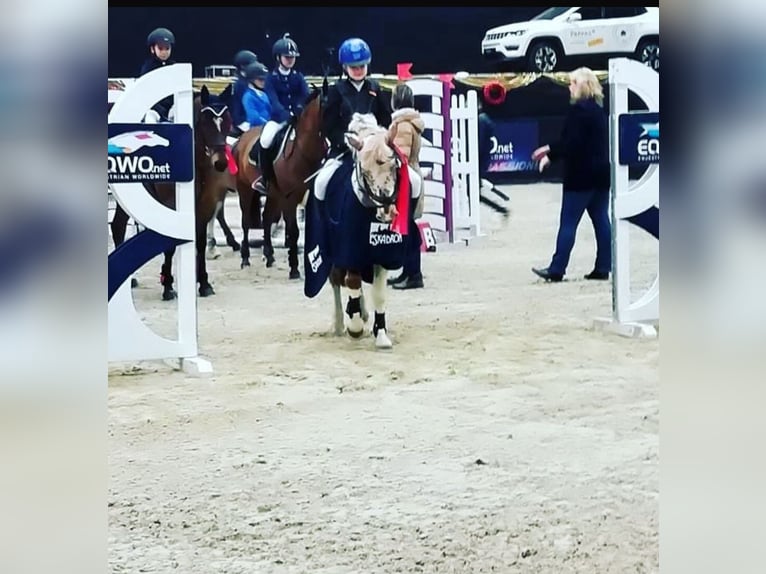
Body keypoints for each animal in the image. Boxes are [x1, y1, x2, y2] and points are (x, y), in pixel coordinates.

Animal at [109, 86, 232, 302]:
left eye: (227, 121)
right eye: (206, 122)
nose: (221, 163)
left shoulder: (204, 206)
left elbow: (200, 243)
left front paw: (204, 284)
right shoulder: (171, 206)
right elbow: (169, 246)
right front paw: (167, 286)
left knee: (118, 226)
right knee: (118, 228)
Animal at [228, 86, 328, 282]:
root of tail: (241, 140)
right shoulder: (289, 199)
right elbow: (294, 231)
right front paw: (294, 269)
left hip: (273, 195)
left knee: (266, 218)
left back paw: (269, 256)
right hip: (246, 190)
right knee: (245, 223)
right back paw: (245, 259)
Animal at [304, 110, 424, 348]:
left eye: (393, 166)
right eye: (365, 171)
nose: (387, 211)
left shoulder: (383, 252)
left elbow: (379, 294)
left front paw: (381, 334)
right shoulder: (349, 248)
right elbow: (351, 280)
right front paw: (355, 327)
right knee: (336, 279)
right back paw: (341, 323)